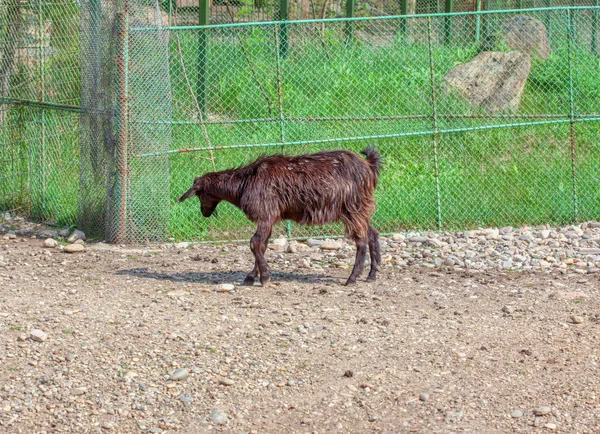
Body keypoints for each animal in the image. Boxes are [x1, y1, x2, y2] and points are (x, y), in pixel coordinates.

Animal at [179, 147, 384, 286]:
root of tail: (369, 166)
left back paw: (352, 278)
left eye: (199, 194)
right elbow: (262, 245)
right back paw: (372, 274)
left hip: (352, 207)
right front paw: (252, 276)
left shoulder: (266, 214)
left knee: (361, 239)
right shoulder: (270, 218)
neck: (244, 183)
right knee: (372, 234)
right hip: (360, 208)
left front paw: (264, 277)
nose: (204, 213)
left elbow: (255, 243)